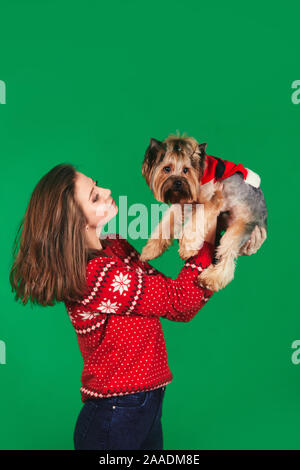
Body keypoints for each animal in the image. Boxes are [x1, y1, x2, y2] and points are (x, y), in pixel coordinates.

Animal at [139, 134, 268, 292]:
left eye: (186, 170)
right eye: (167, 168)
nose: (177, 183)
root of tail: (263, 217)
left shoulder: (213, 200)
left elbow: (195, 223)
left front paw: (187, 248)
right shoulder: (184, 203)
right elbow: (167, 223)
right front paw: (150, 250)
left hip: (241, 226)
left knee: (227, 255)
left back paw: (211, 279)